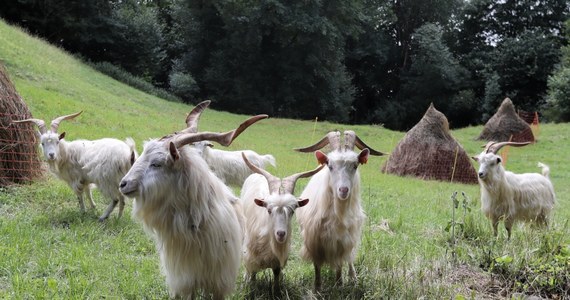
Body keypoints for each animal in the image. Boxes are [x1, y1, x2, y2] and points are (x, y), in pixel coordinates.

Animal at [237, 152, 322, 290]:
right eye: (269, 210)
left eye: (292, 211)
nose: (281, 234)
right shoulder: (252, 255)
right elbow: (253, 274)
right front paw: (251, 286)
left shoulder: (277, 260)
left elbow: (276, 274)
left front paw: (277, 291)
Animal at [292, 130, 382, 290]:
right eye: (330, 165)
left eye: (355, 165)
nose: (343, 190)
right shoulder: (314, 241)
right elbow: (317, 266)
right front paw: (317, 288)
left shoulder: (342, 242)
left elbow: (340, 264)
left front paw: (339, 284)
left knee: (350, 258)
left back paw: (353, 277)